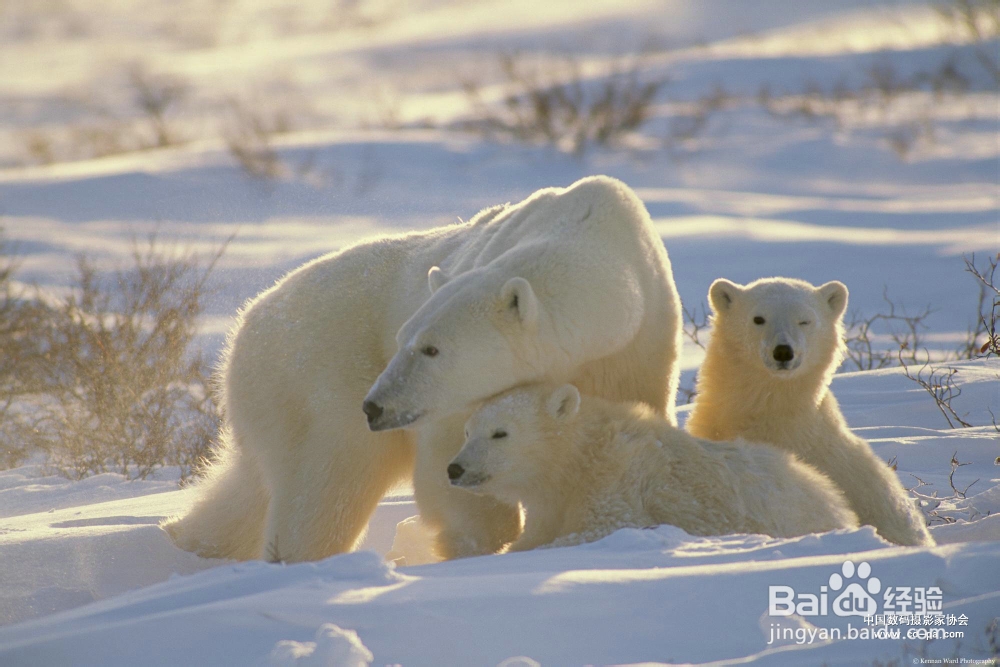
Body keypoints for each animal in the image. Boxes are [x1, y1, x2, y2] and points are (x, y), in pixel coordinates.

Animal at [164, 176, 684, 564]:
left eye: (431, 348)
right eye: (403, 338)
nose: (375, 406)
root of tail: (246, 322)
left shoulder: (638, 350)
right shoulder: (453, 404)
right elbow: (449, 464)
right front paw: (479, 544)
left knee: (249, 486)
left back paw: (184, 539)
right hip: (315, 375)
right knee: (329, 482)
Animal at [450, 384, 856, 552]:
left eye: (500, 432)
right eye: (467, 431)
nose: (455, 468)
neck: (580, 457)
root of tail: (836, 500)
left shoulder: (618, 480)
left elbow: (604, 527)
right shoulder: (551, 501)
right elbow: (534, 534)